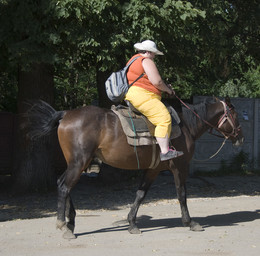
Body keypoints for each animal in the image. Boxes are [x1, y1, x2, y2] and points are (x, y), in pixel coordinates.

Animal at [24, 96, 244, 238]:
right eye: (235, 115)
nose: (240, 137)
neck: (185, 125)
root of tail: (66, 114)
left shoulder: (153, 170)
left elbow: (140, 195)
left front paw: (131, 223)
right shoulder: (180, 167)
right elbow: (181, 195)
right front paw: (190, 222)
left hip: (75, 163)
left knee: (63, 184)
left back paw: (70, 223)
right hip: (79, 162)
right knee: (64, 187)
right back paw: (63, 225)